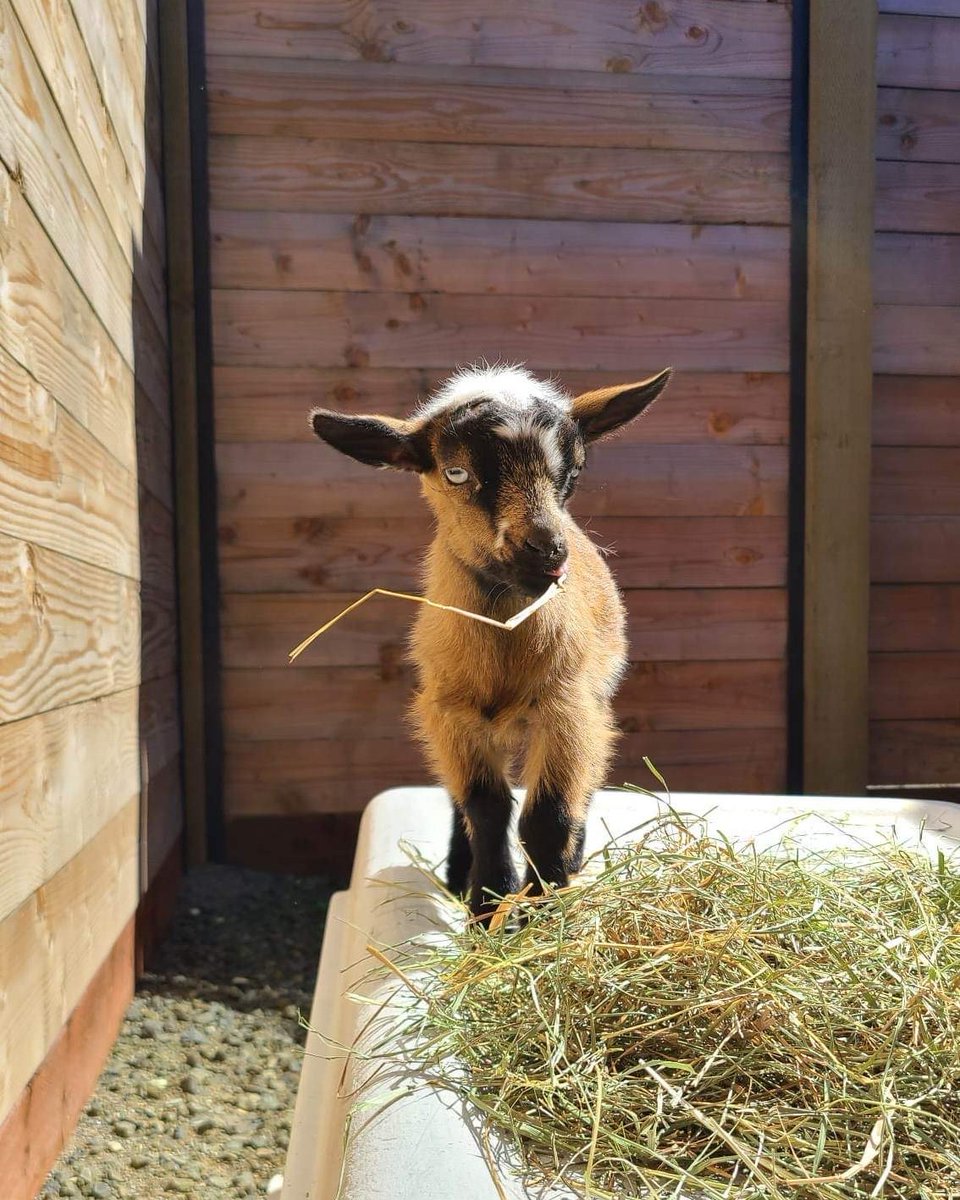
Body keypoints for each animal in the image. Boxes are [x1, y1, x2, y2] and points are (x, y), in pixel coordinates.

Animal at [311, 364, 672, 919]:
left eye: (574, 472)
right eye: (456, 473)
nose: (547, 552)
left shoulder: (567, 709)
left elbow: (547, 815)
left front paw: (541, 907)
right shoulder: (449, 713)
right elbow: (484, 806)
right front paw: (487, 902)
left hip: (594, 700)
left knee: (588, 778)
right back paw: (458, 872)